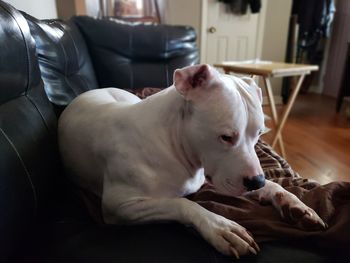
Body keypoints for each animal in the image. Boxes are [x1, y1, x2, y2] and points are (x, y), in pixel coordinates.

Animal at [59, 64, 326, 260]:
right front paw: (221, 228)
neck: (172, 142)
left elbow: (274, 185)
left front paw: (293, 203)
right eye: (226, 137)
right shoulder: (120, 206)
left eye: (259, 134)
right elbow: (181, 204)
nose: (256, 181)